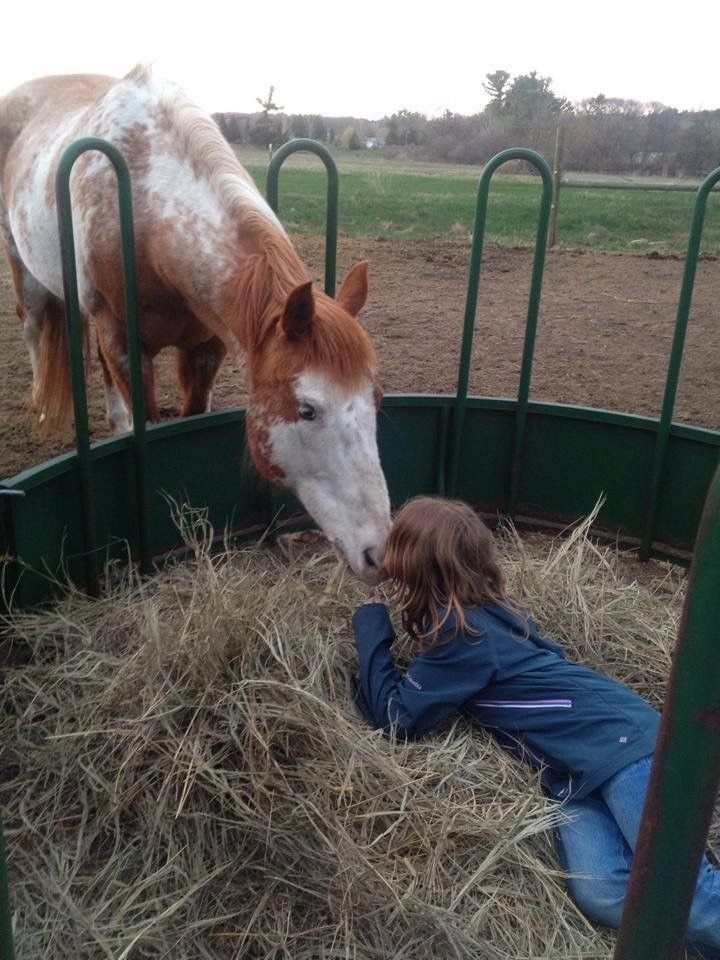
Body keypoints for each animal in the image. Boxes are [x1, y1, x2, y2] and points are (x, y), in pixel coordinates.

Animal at [0, 66, 390, 582]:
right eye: (307, 410)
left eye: (376, 398)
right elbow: (145, 422)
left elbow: (189, 417)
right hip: (27, 276)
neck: (145, 206)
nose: (381, 551)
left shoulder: (205, 347)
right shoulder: (124, 341)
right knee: (35, 334)